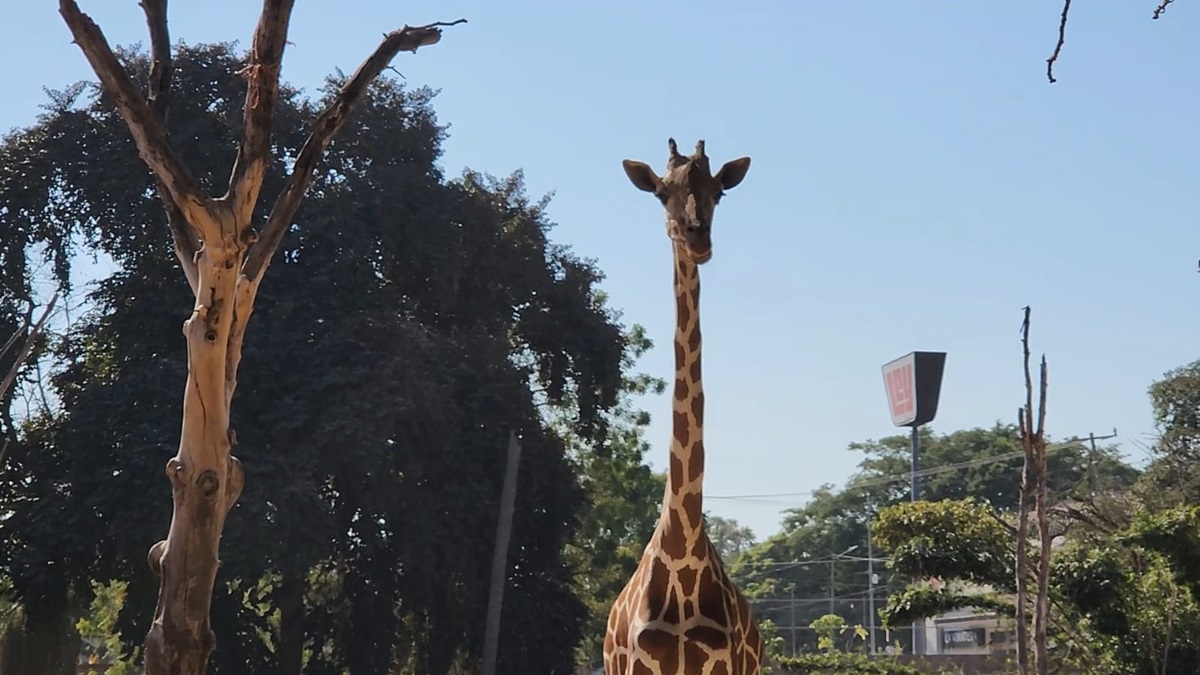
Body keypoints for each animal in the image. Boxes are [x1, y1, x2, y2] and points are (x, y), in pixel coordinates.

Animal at [604, 138, 760, 675]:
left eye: (719, 191)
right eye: (660, 192)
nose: (698, 238)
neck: (683, 548)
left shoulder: (726, 664)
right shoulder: (638, 665)